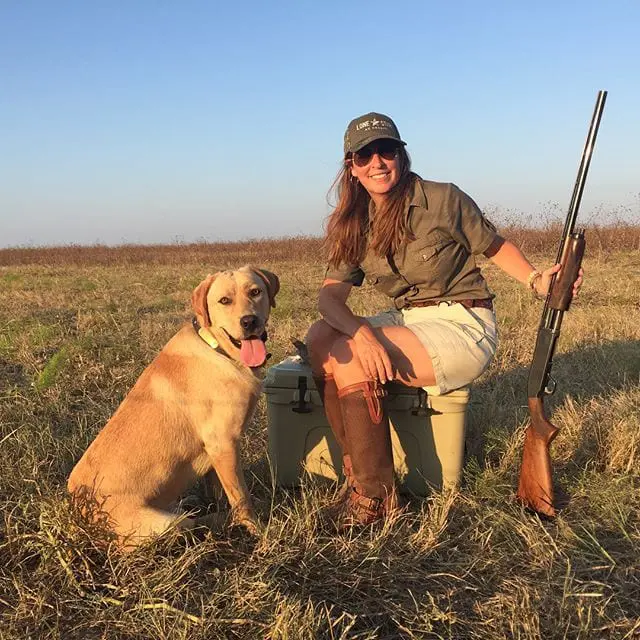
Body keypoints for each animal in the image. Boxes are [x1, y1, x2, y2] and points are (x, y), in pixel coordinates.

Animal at [67, 265, 279, 547]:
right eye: (224, 300)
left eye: (255, 292)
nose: (249, 321)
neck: (218, 350)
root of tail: (79, 513)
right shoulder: (223, 443)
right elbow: (241, 498)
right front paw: (259, 531)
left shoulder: (215, 452)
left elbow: (219, 490)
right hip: (165, 524)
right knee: (190, 524)